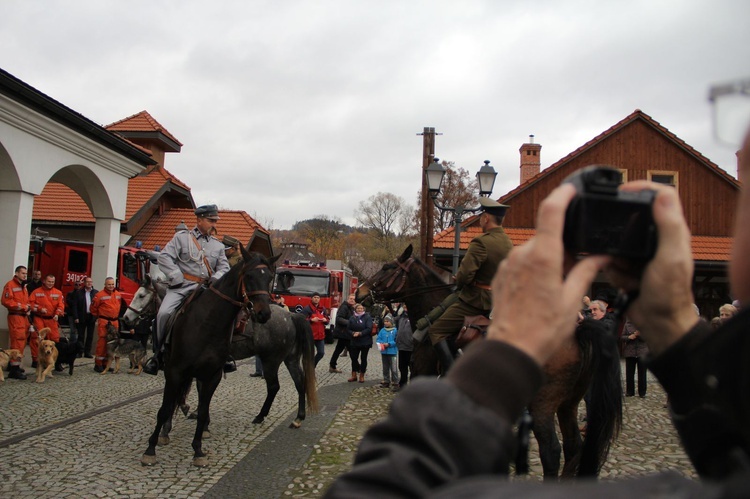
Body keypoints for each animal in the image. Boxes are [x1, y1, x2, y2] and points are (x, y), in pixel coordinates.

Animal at [356, 246, 624, 480]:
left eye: (387, 267)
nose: (360, 293)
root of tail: (576, 332)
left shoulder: (424, 372)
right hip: (568, 404)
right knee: (573, 447)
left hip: (543, 405)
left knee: (552, 452)